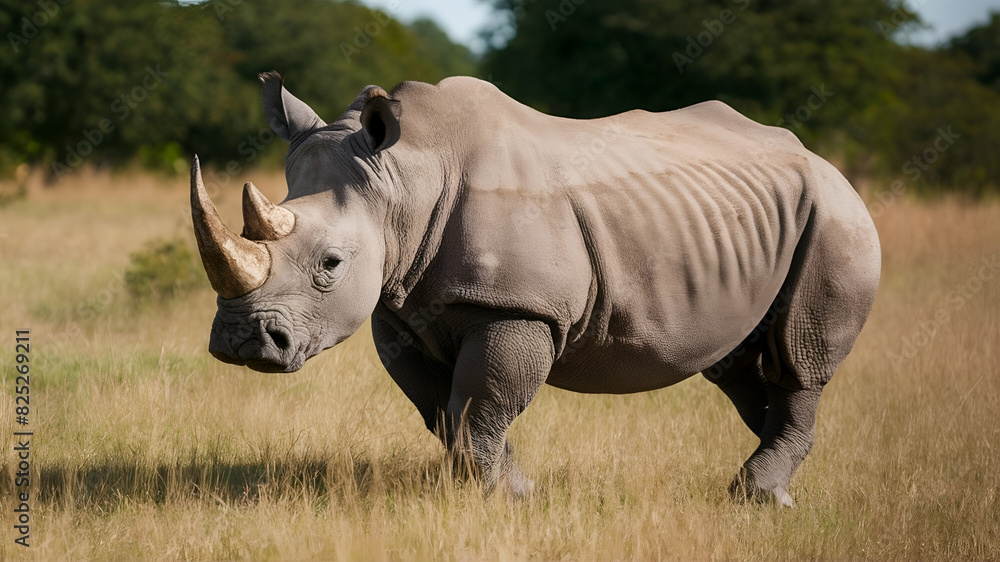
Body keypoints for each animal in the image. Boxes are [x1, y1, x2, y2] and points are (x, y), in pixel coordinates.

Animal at [190, 72, 880, 506]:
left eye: (330, 264)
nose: (241, 342)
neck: (405, 180)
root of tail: (823, 160)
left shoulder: (519, 308)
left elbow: (480, 404)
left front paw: (506, 501)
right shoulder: (399, 307)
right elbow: (441, 410)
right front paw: (500, 493)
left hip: (836, 216)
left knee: (799, 356)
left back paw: (759, 498)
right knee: (736, 361)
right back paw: (774, 477)